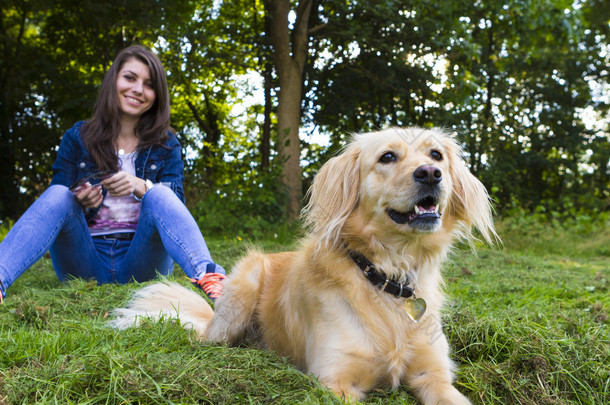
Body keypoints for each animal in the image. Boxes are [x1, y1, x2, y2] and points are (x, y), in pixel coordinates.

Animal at [113, 128, 494, 402]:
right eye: (387, 157)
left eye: (436, 155)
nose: (431, 173)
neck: (386, 273)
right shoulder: (335, 380)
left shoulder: (435, 375)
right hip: (241, 290)